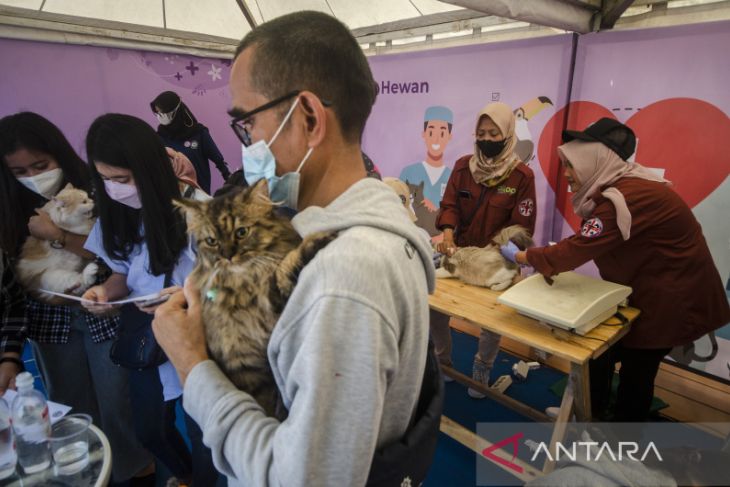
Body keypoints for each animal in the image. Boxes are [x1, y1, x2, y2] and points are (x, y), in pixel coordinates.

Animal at [175, 181, 336, 418]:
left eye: (241, 232)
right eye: (212, 241)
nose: (227, 256)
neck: (246, 282)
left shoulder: (273, 302)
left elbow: (285, 266)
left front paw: (320, 237)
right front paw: (320, 237)